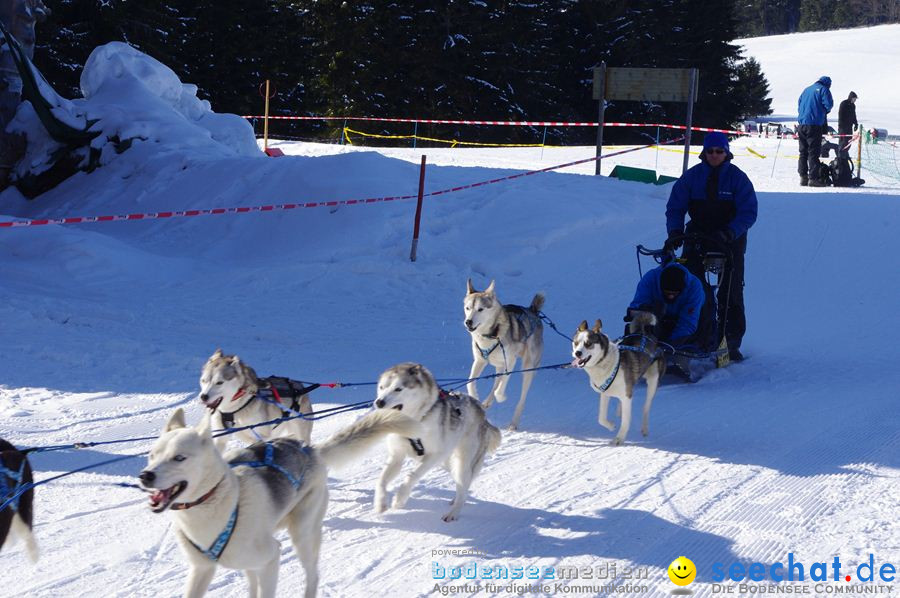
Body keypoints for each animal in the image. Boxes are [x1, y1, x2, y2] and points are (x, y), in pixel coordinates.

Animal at [141, 408, 422, 598]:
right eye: (152, 455)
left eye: (179, 457)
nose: (145, 475)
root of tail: (309, 448)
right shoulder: (201, 569)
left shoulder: (271, 557)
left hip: (302, 537)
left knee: (312, 575)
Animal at [370, 364, 502, 524]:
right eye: (382, 387)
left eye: (398, 389)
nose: (379, 402)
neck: (414, 421)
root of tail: (482, 413)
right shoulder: (397, 456)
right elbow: (381, 480)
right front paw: (380, 503)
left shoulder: (434, 455)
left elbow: (411, 476)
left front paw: (400, 499)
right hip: (448, 463)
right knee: (463, 484)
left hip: (461, 462)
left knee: (464, 485)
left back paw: (453, 512)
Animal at [464, 282, 540, 432]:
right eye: (467, 308)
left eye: (480, 309)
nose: (468, 322)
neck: (492, 334)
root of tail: (532, 311)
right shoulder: (479, 361)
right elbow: (470, 382)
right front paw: (475, 397)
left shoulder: (510, 362)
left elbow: (501, 388)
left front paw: (501, 396)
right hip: (499, 365)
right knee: (496, 382)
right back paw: (486, 402)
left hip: (527, 368)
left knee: (520, 398)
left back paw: (514, 422)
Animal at [572, 314, 664, 446]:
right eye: (575, 343)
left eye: (588, 344)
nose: (577, 353)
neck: (604, 363)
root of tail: (645, 334)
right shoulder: (605, 393)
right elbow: (601, 418)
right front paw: (611, 426)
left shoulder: (627, 396)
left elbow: (626, 421)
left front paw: (619, 438)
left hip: (652, 382)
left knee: (646, 408)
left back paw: (644, 428)